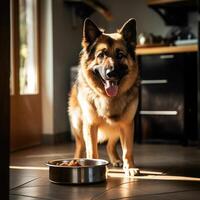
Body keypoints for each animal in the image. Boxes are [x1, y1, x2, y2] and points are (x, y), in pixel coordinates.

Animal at [69, 18, 139, 175]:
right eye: (101, 55)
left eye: (120, 55)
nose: (110, 73)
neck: (108, 98)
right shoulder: (90, 125)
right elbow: (92, 151)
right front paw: (93, 166)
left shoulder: (127, 124)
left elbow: (128, 150)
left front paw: (130, 167)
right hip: (78, 126)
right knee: (80, 146)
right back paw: (76, 160)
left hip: (116, 127)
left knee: (109, 145)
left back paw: (116, 160)